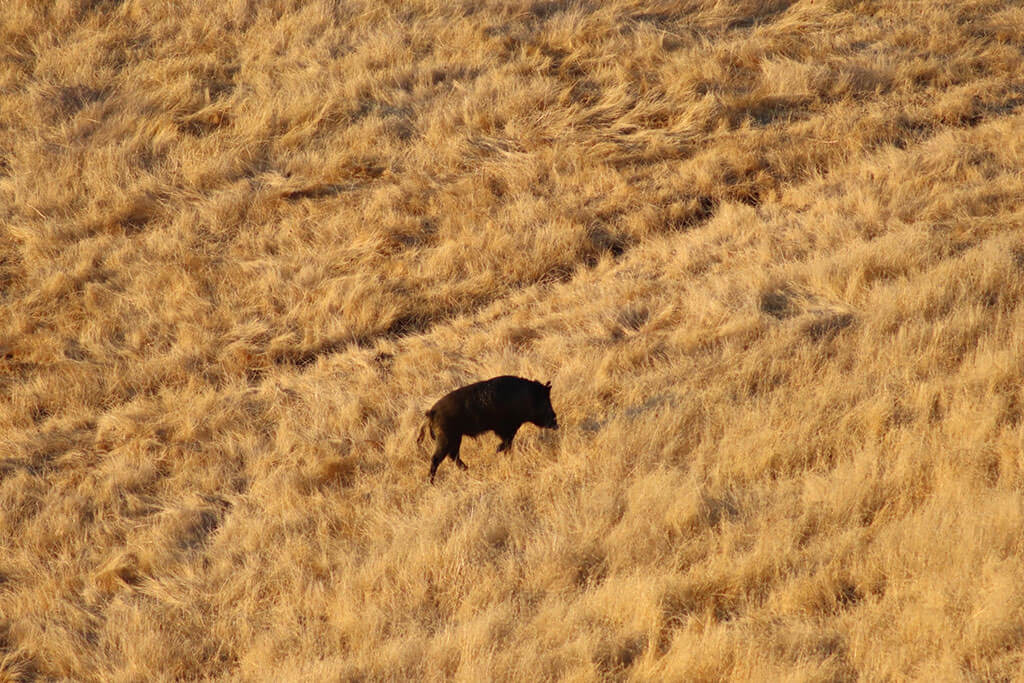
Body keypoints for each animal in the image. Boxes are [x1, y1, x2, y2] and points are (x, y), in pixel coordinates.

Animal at [417, 375, 559, 483]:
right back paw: (431, 482)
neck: (525, 397)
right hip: (447, 439)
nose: (556, 423)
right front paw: (496, 451)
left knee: (453, 456)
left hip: (455, 439)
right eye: (545, 402)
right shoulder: (507, 428)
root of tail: (431, 413)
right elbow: (507, 443)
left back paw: (467, 469)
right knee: (437, 458)